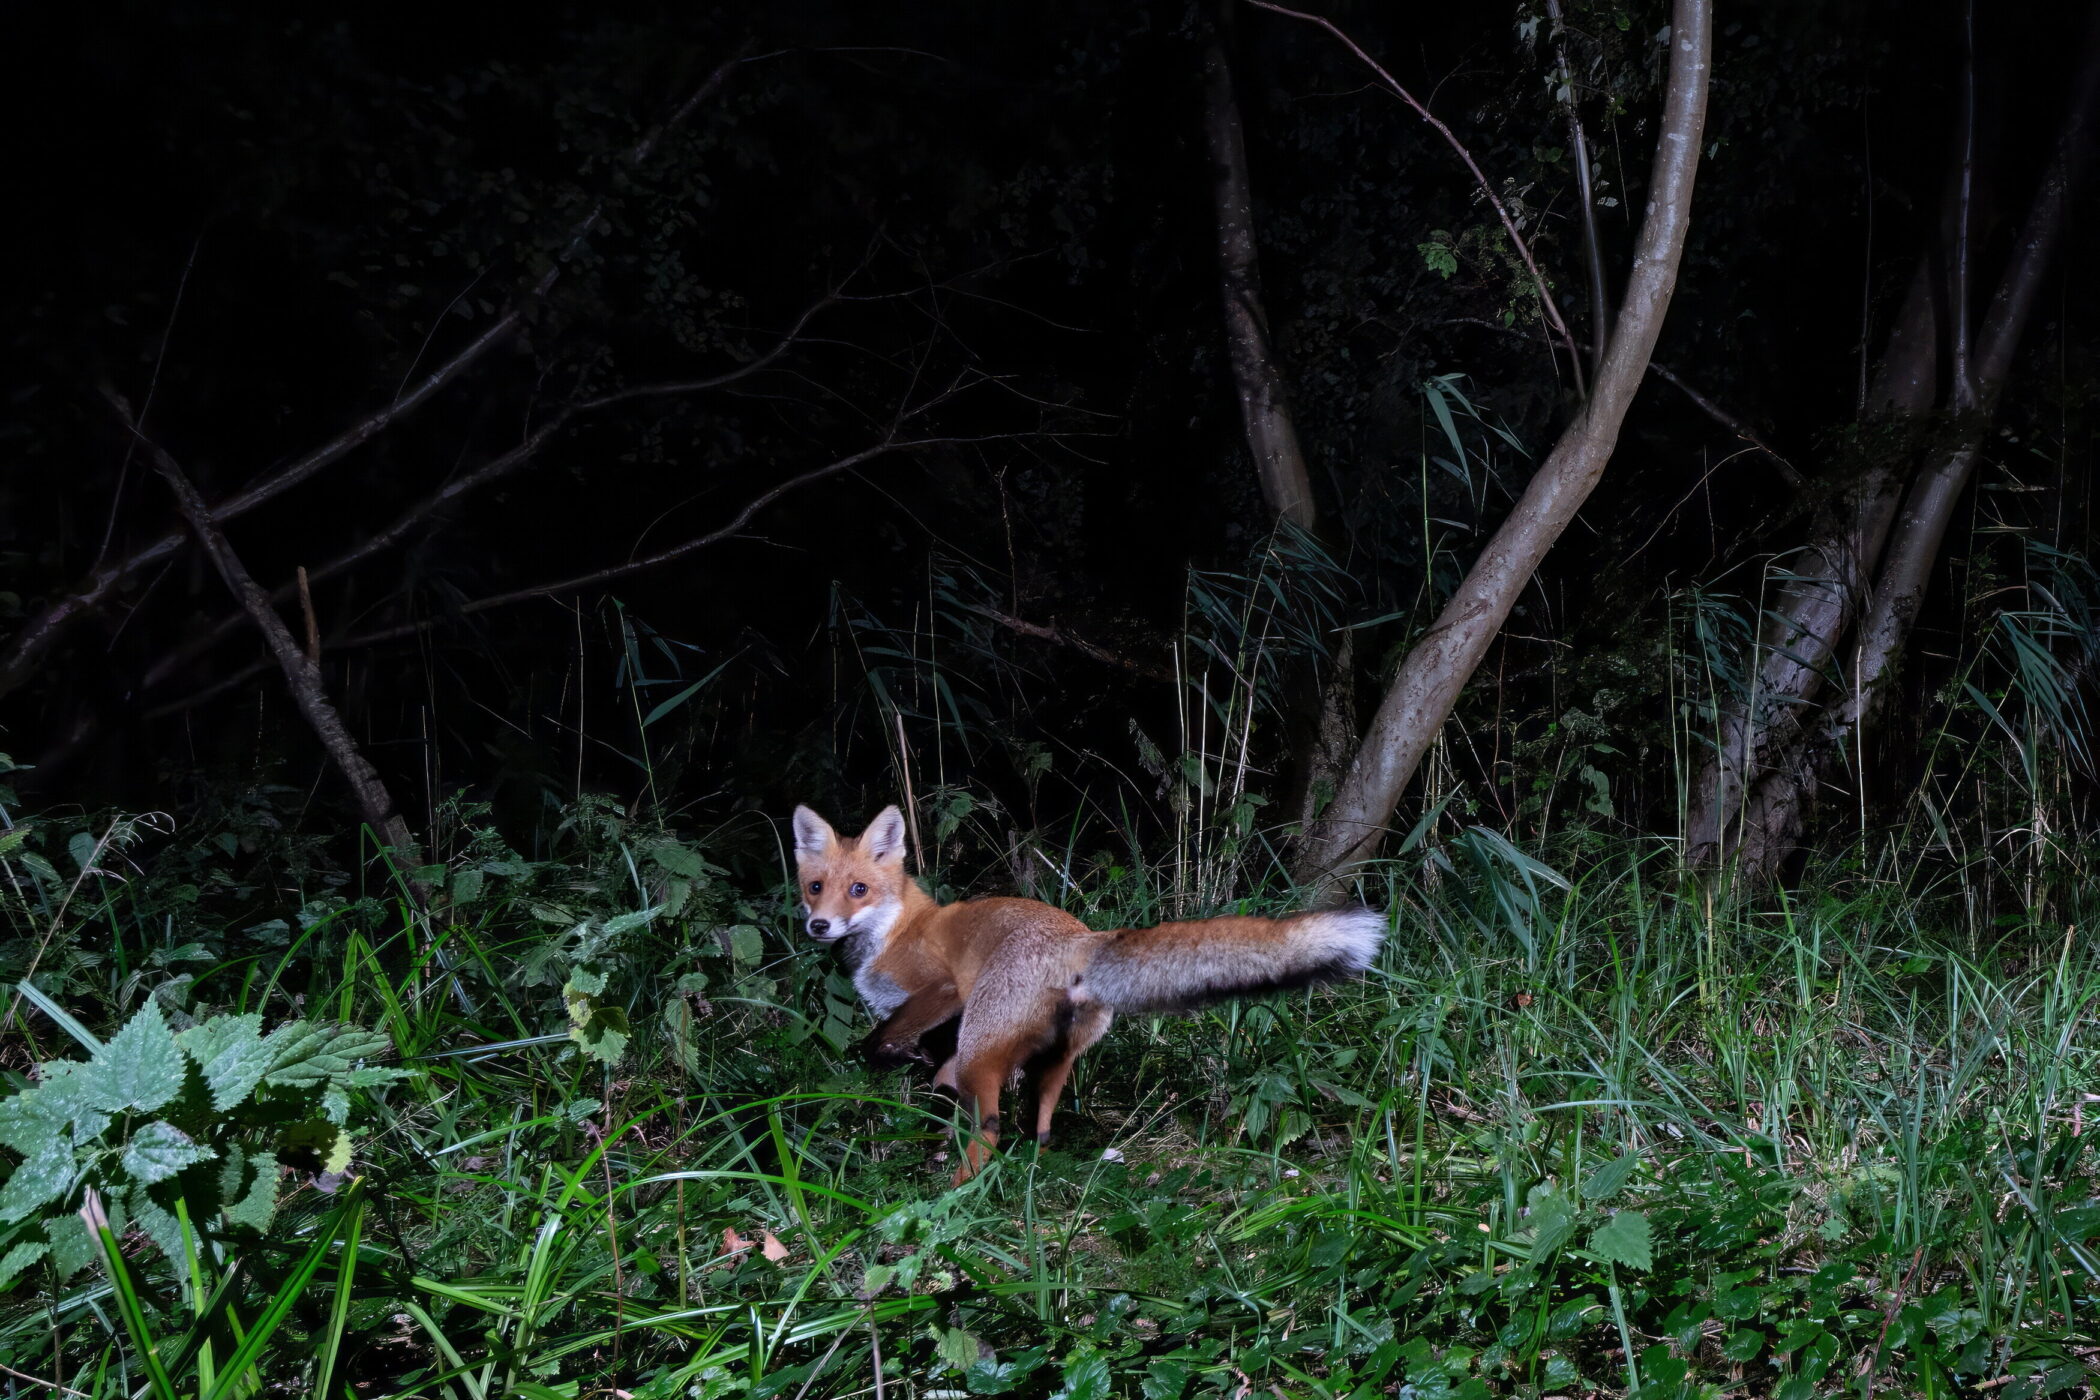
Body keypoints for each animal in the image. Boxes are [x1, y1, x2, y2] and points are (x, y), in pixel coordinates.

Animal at [791, 803, 1386, 1181]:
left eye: (859, 890)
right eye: (815, 887)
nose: (819, 926)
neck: (894, 930)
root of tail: (1079, 938)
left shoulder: (941, 991)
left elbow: (878, 1042)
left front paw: (895, 1060)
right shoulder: (947, 1044)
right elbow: (932, 1078)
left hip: (982, 1044)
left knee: (990, 1129)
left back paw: (957, 1190)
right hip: (1053, 1060)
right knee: (1041, 1123)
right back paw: (1033, 1169)